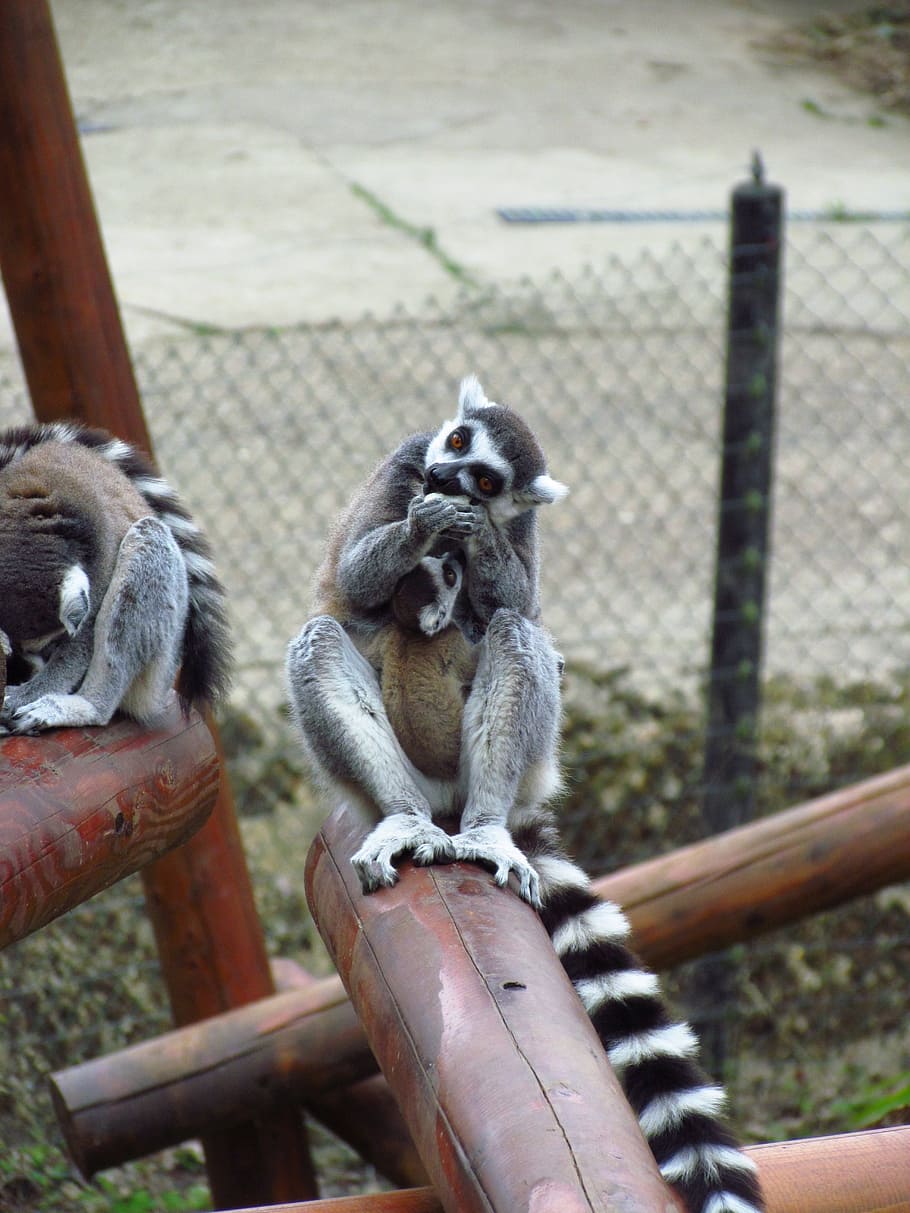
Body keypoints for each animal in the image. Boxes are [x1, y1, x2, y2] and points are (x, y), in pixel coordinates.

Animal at [0, 422, 232, 733]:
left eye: (55, 642)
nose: (40, 659)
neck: (24, 530)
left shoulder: (100, 552)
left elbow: (84, 639)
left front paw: (26, 694)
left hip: (162, 661)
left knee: (148, 539)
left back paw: (87, 706)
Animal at [286, 376, 764, 1213]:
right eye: (453, 443)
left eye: (485, 479)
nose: (446, 481)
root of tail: (448, 800)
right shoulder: (399, 465)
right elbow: (353, 575)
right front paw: (420, 528)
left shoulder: (522, 526)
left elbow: (520, 593)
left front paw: (471, 541)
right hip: (366, 770)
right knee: (322, 636)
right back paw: (406, 819)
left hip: (532, 758)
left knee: (514, 628)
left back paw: (483, 828)